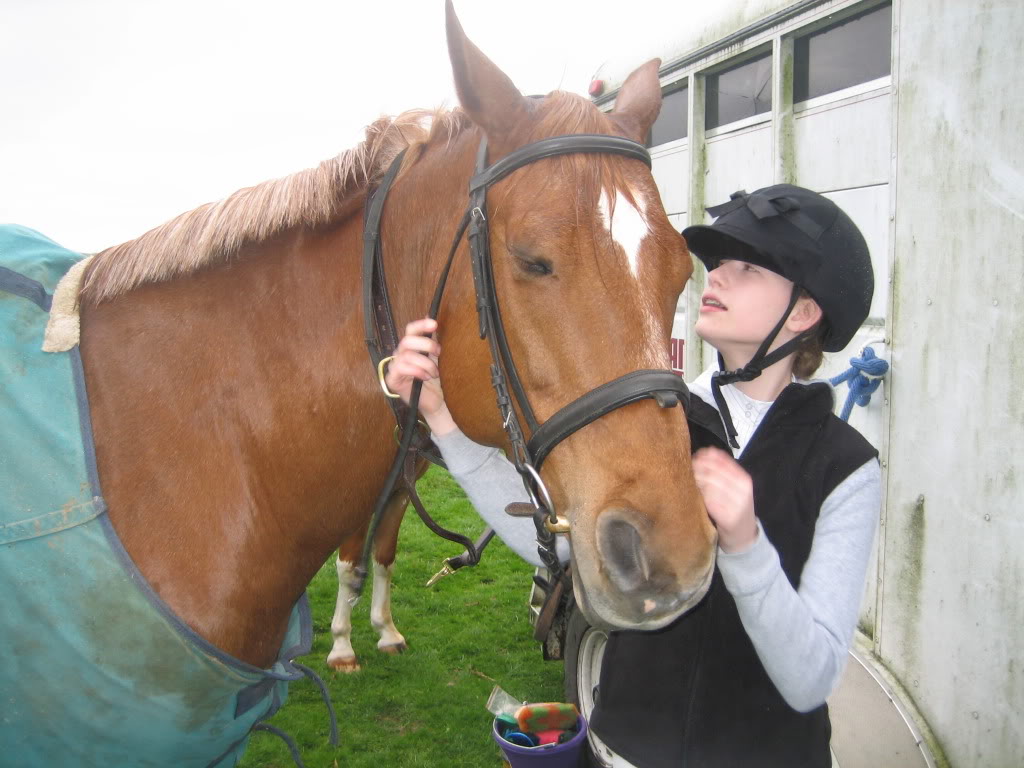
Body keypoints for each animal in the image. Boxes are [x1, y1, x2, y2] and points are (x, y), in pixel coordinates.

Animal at [72, 0, 712, 716]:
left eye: (680, 268)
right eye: (531, 259)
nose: (674, 558)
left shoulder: (399, 472)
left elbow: (381, 553)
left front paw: (381, 631)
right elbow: (352, 559)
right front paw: (344, 645)